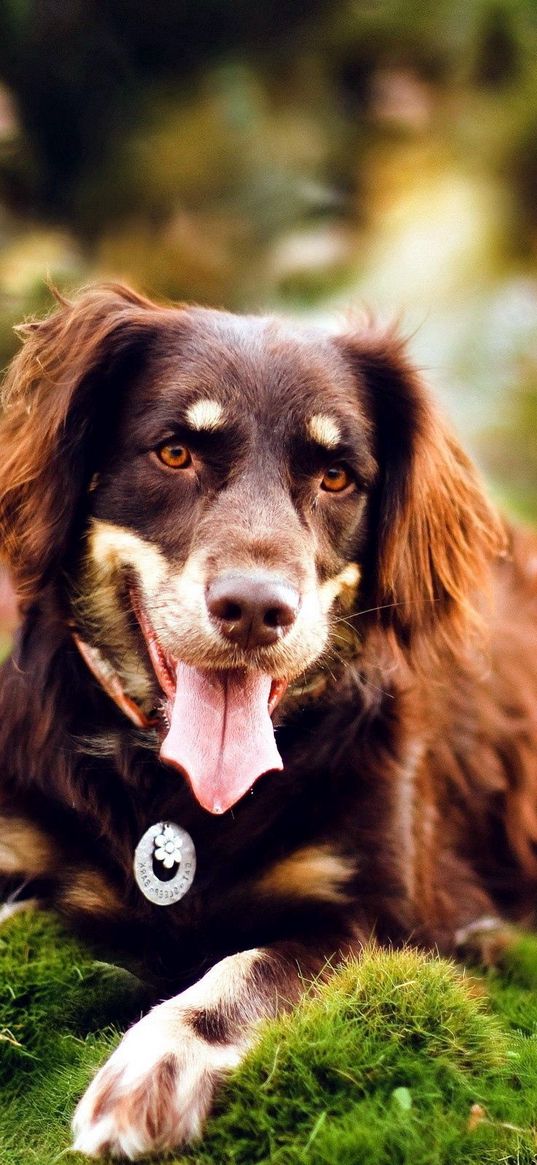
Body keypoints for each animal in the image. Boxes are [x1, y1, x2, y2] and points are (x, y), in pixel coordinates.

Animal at [0, 286, 533, 1160]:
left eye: (335, 475)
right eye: (175, 452)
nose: (255, 609)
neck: (173, 789)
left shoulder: (381, 918)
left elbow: (249, 967)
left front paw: (157, 1061)